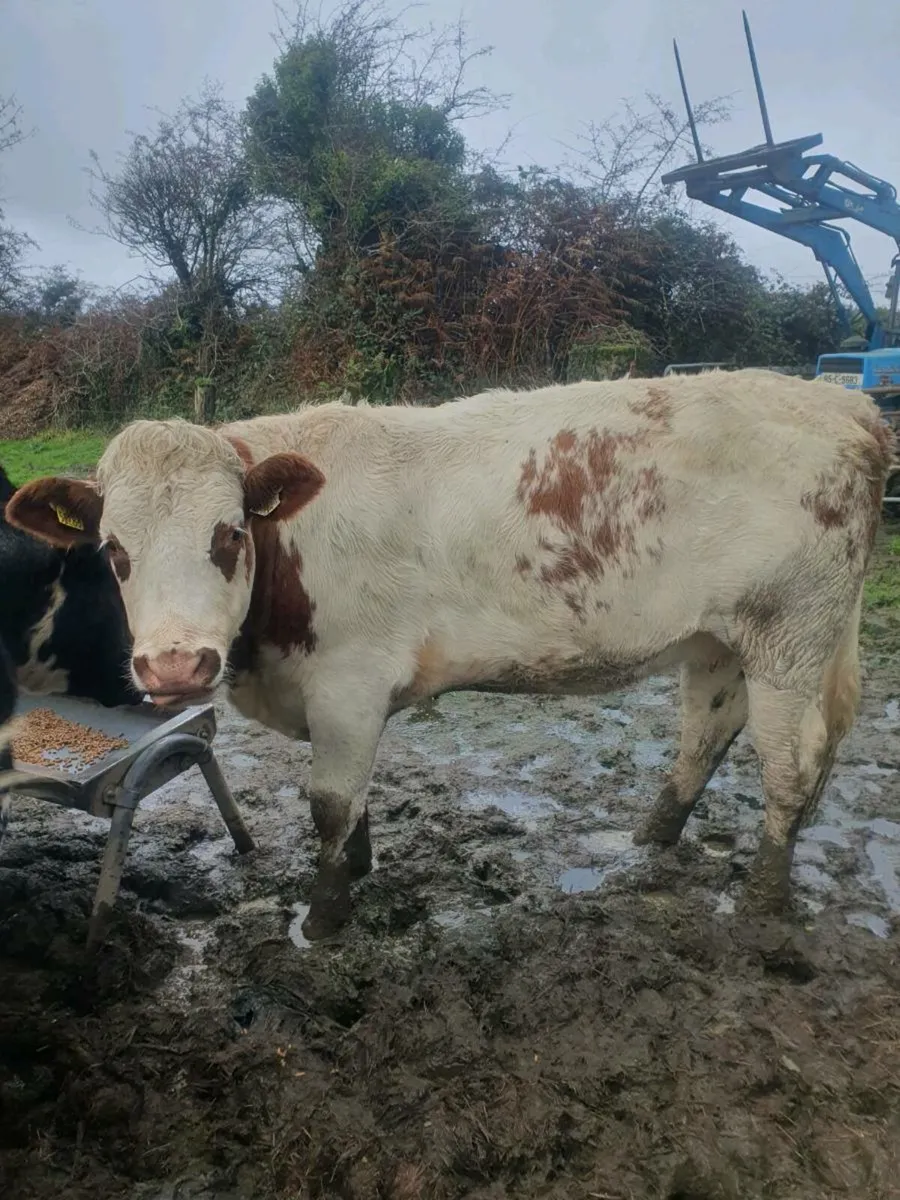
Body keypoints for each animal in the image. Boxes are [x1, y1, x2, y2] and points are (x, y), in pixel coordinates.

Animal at [5, 370, 891, 940]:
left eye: (226, 535)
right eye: (114, 551)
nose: (174, 669)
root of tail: (850, 406)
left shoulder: (348, 683)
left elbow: (329, 802)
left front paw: (322, 919)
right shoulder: (344, 700)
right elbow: (357, 798)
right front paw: (358, 870)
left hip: (791, 636)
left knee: (791, 764)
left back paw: (761, 906)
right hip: (719, 637)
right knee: (707, 732)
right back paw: (648, 841)